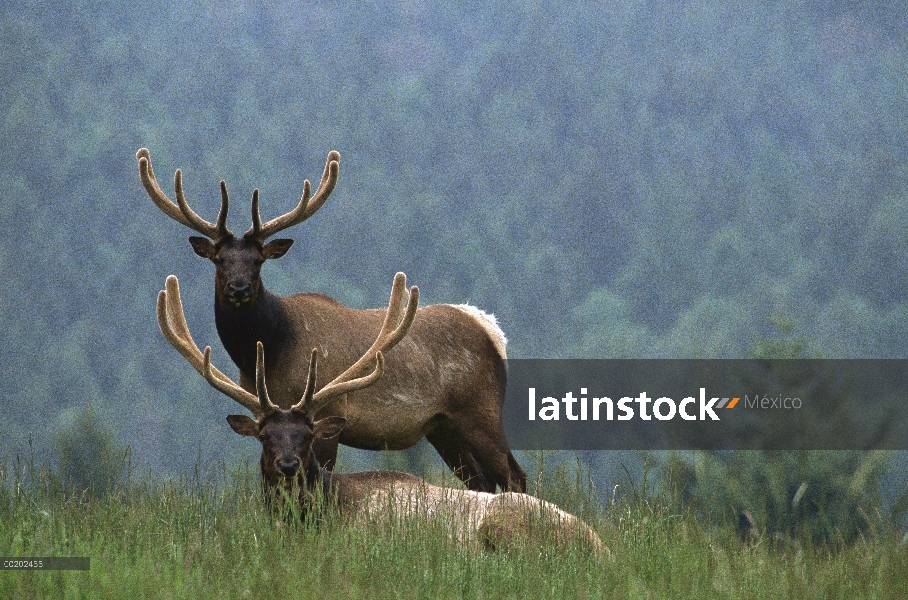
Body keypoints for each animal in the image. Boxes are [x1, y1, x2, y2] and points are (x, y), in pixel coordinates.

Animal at [139, 150, 528, 492]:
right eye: (219, 260)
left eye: (257, 260)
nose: (238, 288)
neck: (268, 347)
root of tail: (491, 330)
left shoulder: (327, 414)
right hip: (442, 427)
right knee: (482, 482)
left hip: (481, 410)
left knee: (514, 475)